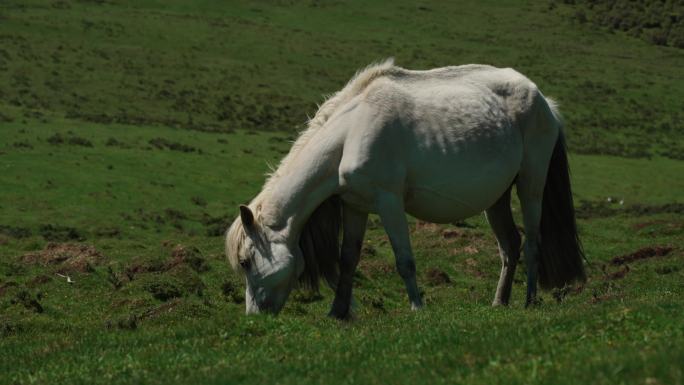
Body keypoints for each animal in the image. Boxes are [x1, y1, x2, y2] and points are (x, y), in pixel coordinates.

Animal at [223, 59, 584, 318]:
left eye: (245, 261)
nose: (254, 317)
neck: (350, 133)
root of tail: (545, 102)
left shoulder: (389, 202)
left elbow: (404, 260)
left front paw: (417, 308)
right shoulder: (355, 206)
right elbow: (348, 259)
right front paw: (337, 313)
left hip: (530, 184)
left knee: (533, 242)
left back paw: (530, 301)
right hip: (496, 198)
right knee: (510, 246)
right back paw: (499, 302)